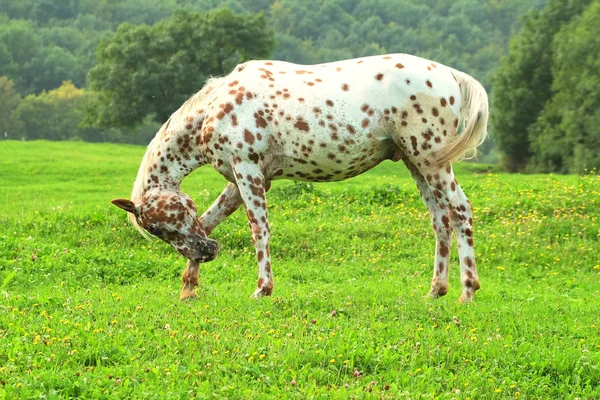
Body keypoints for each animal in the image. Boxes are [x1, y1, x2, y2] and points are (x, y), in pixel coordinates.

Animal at [111, 54, 488, 304]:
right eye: (157, 229)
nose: (206, 252)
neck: (216, 109)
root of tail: (451, 75)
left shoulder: (248, 171)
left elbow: (258, 230)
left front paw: (262, 289)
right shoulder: (238, 180)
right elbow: (208, 220)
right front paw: (188, 286)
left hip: (431, 161)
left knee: (460, 211)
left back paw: (467, 292)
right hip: (417, 163)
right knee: (440, 220)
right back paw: (436, 290)